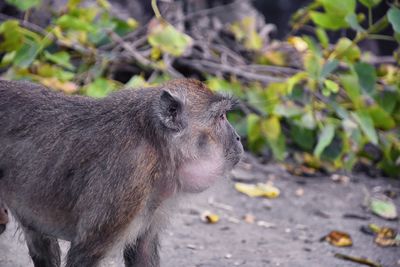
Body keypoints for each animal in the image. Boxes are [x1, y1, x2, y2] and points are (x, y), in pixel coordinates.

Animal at [0, 79, 244, 267]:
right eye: (221, 117)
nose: (239, 138)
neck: (157, 147)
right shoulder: (129, 180)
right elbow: (85, 253)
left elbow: (142, 250)